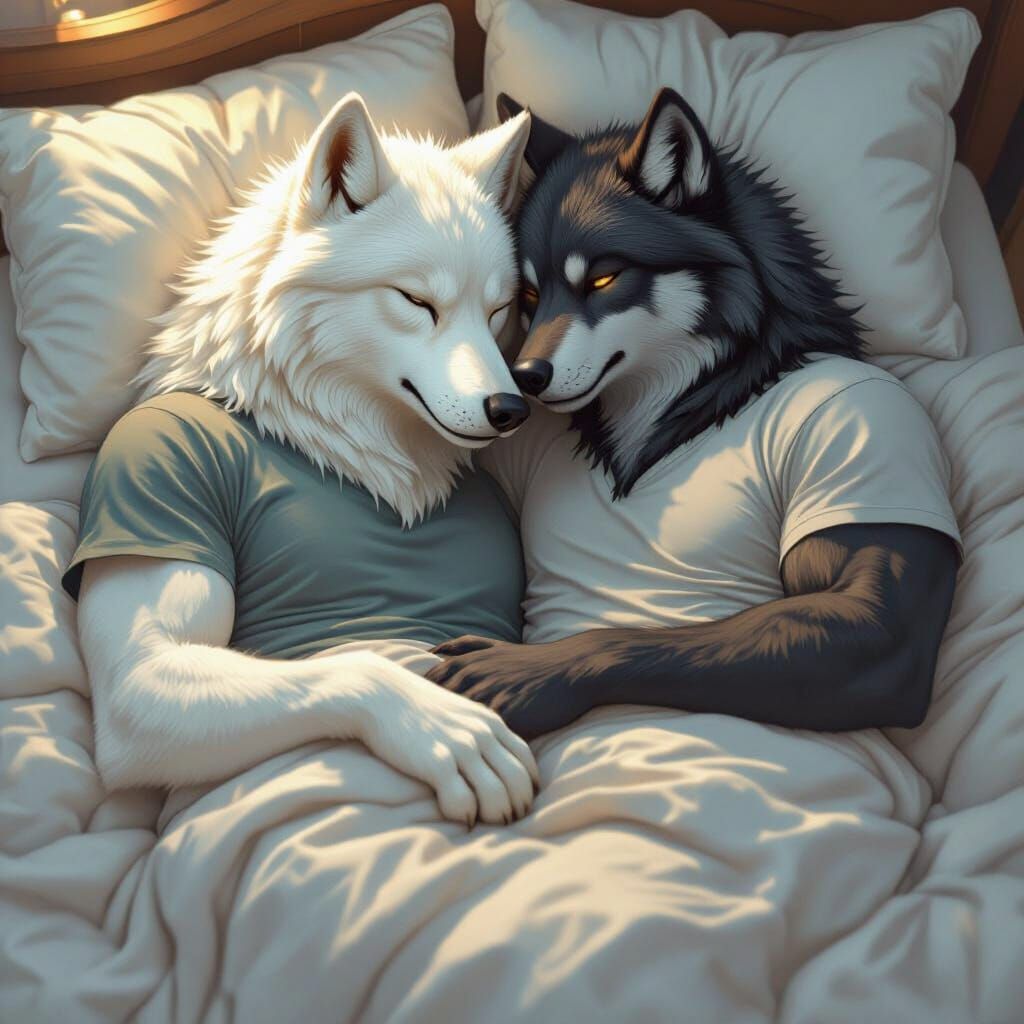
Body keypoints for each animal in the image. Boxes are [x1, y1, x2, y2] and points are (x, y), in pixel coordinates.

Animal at [69, 94, 540, 827]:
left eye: (496, 311)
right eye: (417, 302)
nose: (509, 408)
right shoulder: (148, 465)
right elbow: (359, 666)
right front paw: (440, 726)